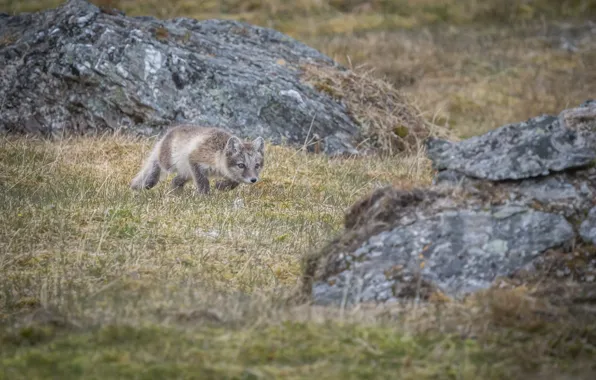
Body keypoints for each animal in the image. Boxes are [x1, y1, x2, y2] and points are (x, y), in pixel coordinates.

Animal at [132, 126, 264, 194]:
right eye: (241, 165)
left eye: (257, 165)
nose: (254, 180)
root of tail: (169, 132)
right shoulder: (194, 160)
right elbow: (203, 181)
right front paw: (204, 195)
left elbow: (235, 182)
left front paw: (221, 186)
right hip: (169, 163)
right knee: (156, 162)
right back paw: (150, 181)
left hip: (186, 173)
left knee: (175, 180)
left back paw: (177, 194)